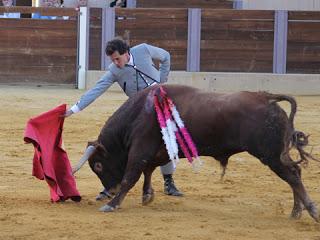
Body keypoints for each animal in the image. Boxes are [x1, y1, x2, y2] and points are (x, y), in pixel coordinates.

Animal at [73, 84, 320, 221]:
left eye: (98, 165)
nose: (109, 191)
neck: (140, 110)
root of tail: (266, 97)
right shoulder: (157, 152)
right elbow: (148, 171)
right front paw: (147, 195)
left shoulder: (140, 149)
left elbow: (131, 176)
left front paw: (112, 204)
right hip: (277, 154)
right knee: (295, 172)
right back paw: (296, 212)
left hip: (270, 155)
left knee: (293, 176)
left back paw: (309, 210)